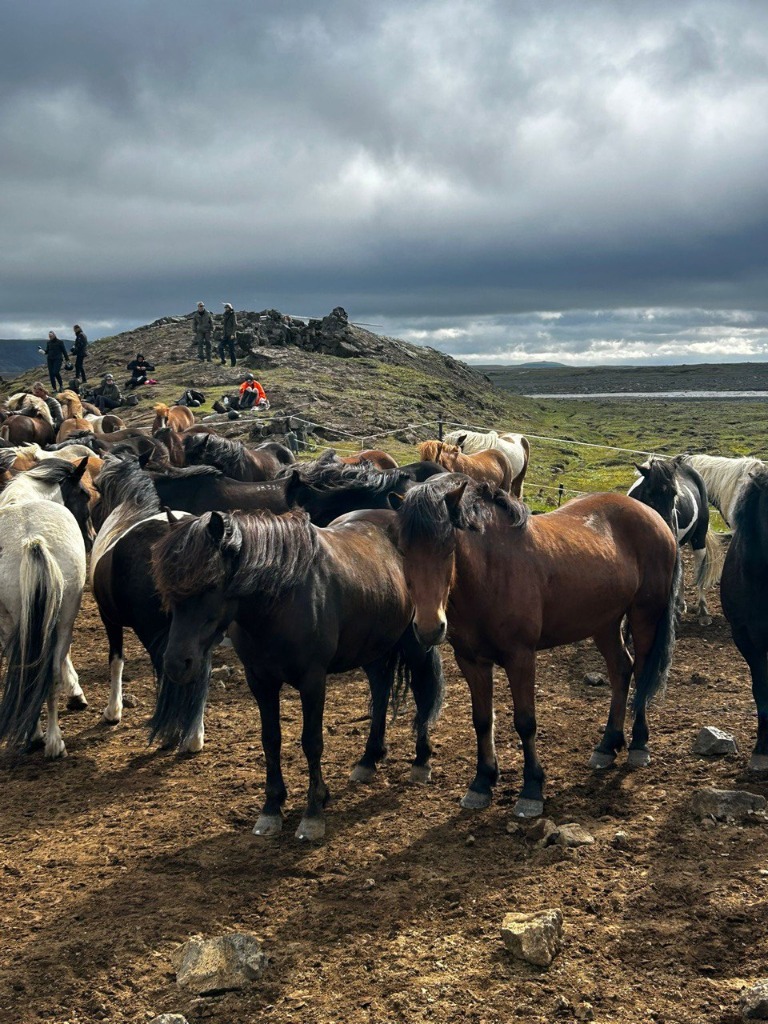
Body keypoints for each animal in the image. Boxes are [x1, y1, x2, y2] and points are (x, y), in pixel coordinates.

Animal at [0, 458, 93, 758]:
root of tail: (33, 540)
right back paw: (52, 741)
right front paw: (76, 693)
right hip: (61, 618)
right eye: (84, 495)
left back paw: (39, 737)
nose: (91, 538)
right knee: (44, 671)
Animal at [151, 507, 445, 839]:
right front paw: (272, 807)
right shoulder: (260, 681)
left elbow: (311, 742)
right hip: (371, 647)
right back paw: (369, 759)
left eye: (211, 585)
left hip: (416, 643)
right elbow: (270, 740)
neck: (282, 600)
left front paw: (313, 812)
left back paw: (421, 761)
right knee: (380, 691)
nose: (177, 664)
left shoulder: (312, 682)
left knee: (422, 693)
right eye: (167, 589)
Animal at [390, 474, 679, 819]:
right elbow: (482, 720)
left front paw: (531, 790)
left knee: (643, 673)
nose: (429, 628)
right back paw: (607, 745)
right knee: (621, 671)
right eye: (402, 550)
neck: (492, 571)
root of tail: (653, 517)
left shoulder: (521, 658)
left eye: (448, 548)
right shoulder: (471, 661)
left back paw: (638, 745)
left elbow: (525, 722)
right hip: (605, 623)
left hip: (644, 616)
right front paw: (481, 783)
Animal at [628, 456, 723, 624]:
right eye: (649, 493)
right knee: (683, 566)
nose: (667, 530)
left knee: (699, 571)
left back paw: (702, 611)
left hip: (699, 538)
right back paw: (681, 606)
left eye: (674, 494)